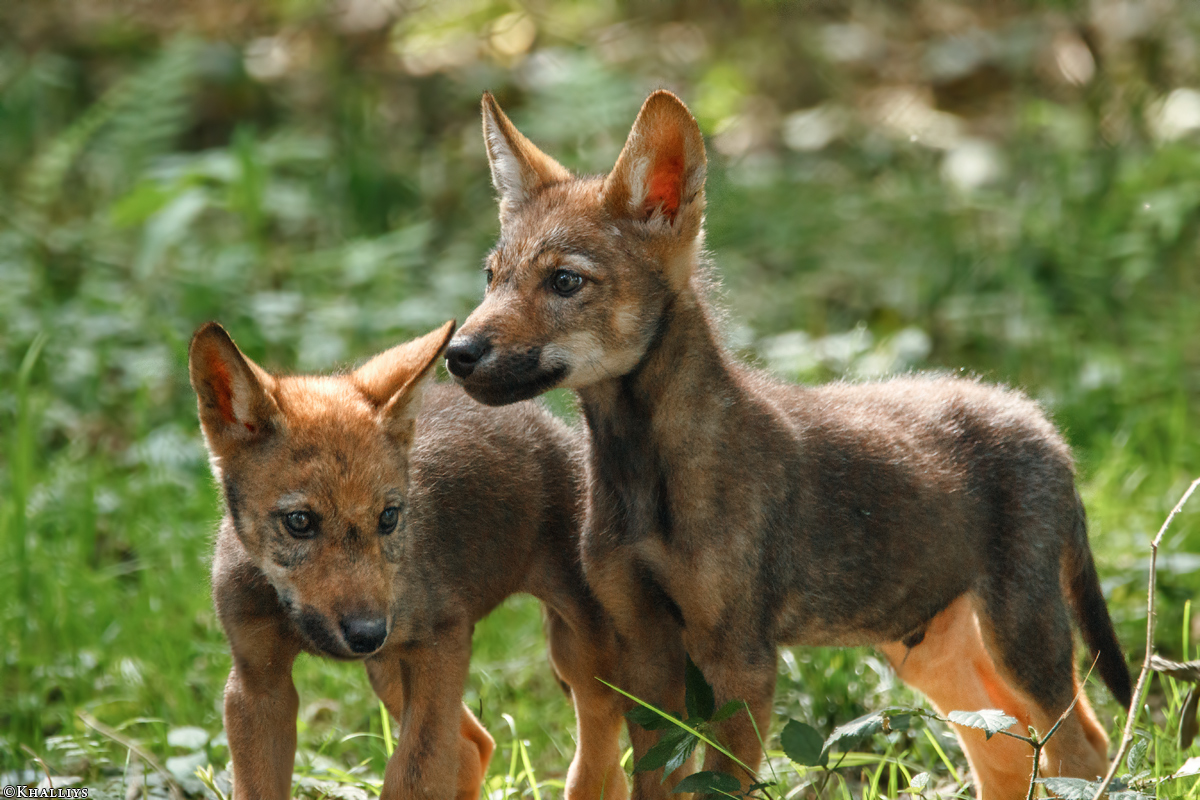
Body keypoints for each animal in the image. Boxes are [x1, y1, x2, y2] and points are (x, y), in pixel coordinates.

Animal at [189, 321, 628, 800]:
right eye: (299, 521)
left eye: (389, 517)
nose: (368, 633)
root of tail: (551, 425)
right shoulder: (258, 684)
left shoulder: (442, 644)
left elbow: (413, 774)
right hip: (388, 671)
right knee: (475, 746)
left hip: (582, 658)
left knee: (603, 765)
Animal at [443, 90, 1133, 800]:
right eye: (491, 277)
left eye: (564, 282)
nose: (457, 353)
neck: (643, 478)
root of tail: (1044, 423)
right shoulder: (645, 651)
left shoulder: (740, 661)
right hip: (932, 651)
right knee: (1012, 753)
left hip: (1021, 633)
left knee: (1082, 748)